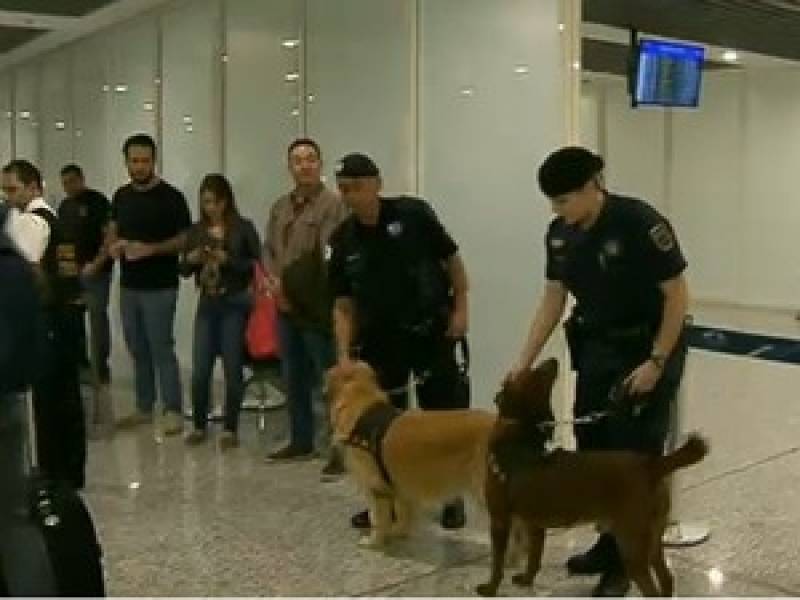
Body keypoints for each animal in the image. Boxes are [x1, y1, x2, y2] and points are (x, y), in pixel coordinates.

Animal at [476, 358, 708, 596]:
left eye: (530, 372)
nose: (554, 360)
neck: (519, 429)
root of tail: (650, 464)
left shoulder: (499, 520)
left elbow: (497, 563)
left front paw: (490, 588)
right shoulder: (535, 524)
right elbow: (534, 558)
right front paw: (526, 580)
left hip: (632, 543)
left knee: (651, 589)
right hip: (653, 540)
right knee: (667, 578)